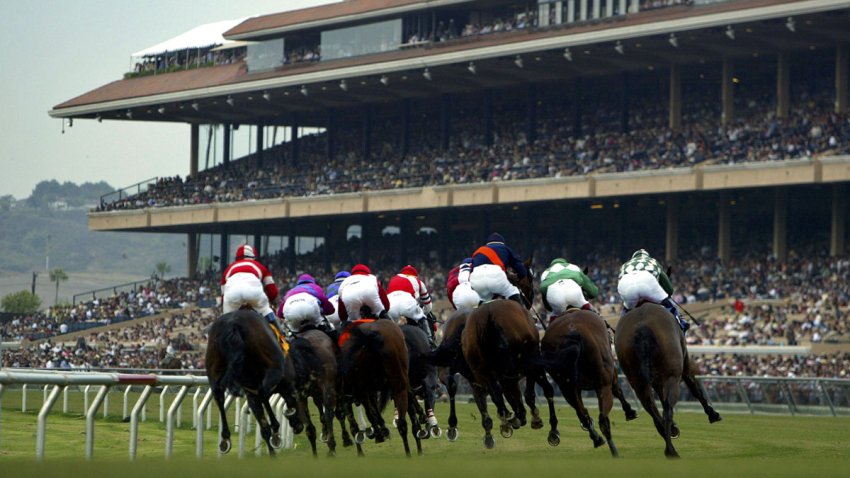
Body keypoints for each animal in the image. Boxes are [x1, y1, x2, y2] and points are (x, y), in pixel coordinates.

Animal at [206, 310, 286, 456]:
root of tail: (232, 324)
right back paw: (275, 433)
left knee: (218, 395)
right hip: (273, 369)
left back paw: (225, 439)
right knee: (263, 393)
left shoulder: (250, 389)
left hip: (214, 368)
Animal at [540, 308, 632, 458]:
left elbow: (582, 412)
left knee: (584, 414)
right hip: (602, 384)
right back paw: (613, 450)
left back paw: (597, 439)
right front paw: (630, 411)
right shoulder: (611, 375)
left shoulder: (573, 388)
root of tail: (574, 332)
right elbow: (617, 390)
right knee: (603, 418)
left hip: (566, 386)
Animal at [612, 304, 720, 458]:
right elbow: (694, 388)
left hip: (636, 380)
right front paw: (713, 414)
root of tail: (641, 327)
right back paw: (671, 451)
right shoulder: (683, 364)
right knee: (668, 408)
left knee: (652, 409)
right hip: (671, 375)